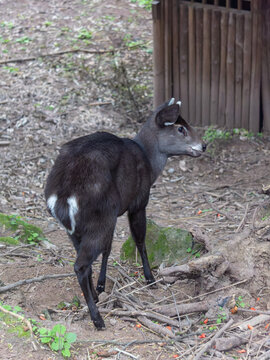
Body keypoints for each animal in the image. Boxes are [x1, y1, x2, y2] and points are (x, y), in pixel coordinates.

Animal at [44, 98, 207, 330]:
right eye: (180, 127)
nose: (203, 145)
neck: (149, 161)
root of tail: (63, 195)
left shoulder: (113, 217)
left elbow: (108, 249)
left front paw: (101, 285)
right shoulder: (138, 202)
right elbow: (140, 240)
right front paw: (150, 279)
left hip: (77, 227)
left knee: (86, 260)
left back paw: (95, 297)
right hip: (100, 216)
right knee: (80, 265)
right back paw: (98, 319)